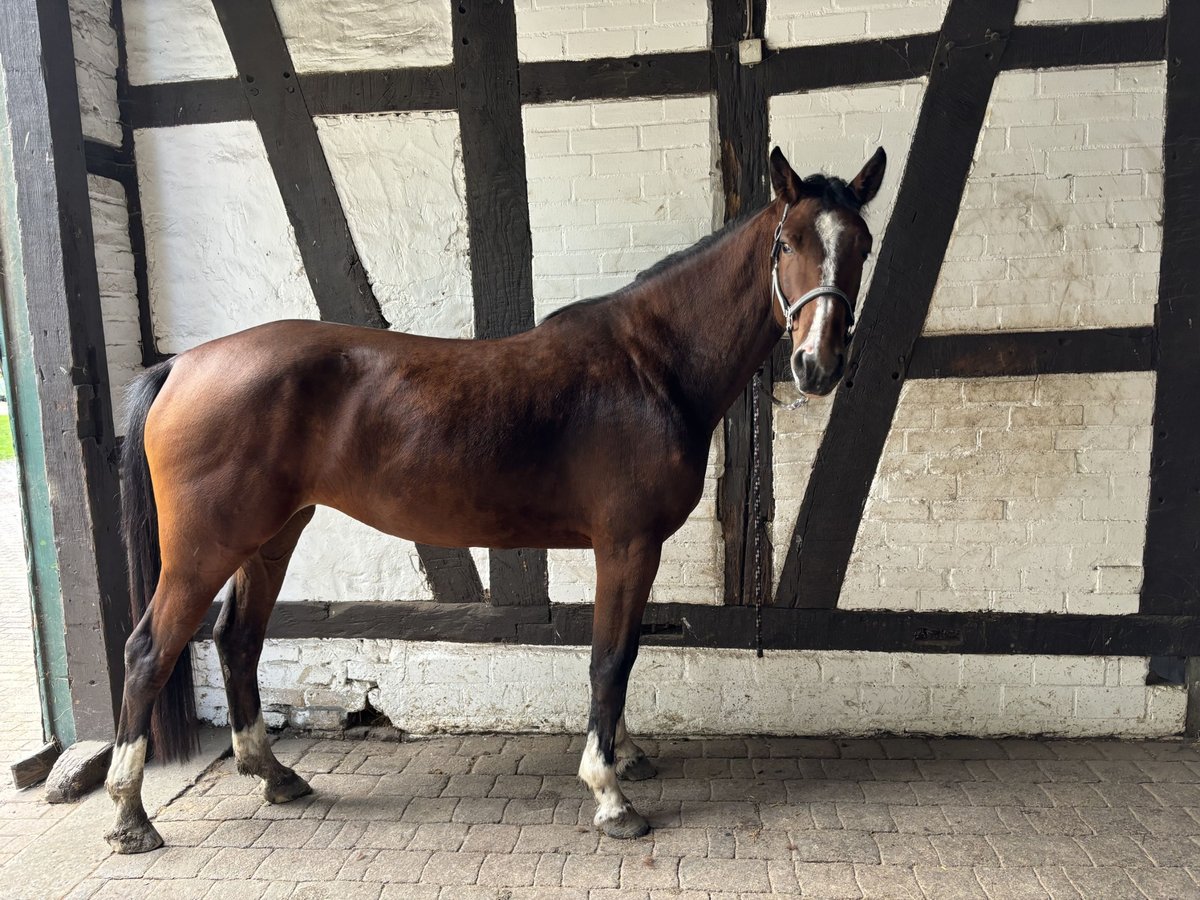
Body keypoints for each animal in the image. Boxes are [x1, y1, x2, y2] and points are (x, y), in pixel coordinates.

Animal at [105, 146, 883, 854]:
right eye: (788, 243)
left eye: (862, 246)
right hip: (205, 550)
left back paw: (275, 775)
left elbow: (622, 651)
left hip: (271, 536)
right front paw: (610, 795)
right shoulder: (627, 544)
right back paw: (129, 817)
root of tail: (183, 365)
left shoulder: (630, 548)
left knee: (237, 639)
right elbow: (611, 657)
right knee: (148, 650)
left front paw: (626, 756)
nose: (818, 365)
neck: (650, 367)